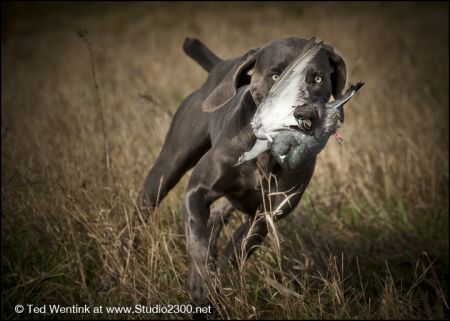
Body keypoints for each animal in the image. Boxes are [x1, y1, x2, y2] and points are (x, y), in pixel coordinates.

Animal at [132, 37, 346, 304]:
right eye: (276, 76)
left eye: (317, 78)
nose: (304, 113)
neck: (266, 153)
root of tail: (218, 67)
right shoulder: (197, 192)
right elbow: (197, 242)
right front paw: (202, 284)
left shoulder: (266, 215)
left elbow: (237, 249)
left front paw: (220, 281)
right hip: (168, 166)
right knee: (142, 212)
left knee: (218, 217)